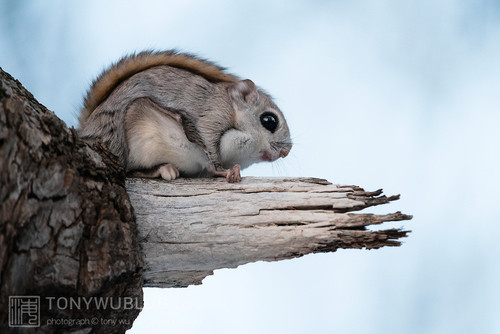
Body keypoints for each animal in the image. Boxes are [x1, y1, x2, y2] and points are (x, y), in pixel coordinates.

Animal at [76, 50, 292, 183]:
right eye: (269, 121)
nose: (285, 152)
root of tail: (87, 131)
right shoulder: (211, 116)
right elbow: (210, 150)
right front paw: (225, 170)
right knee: (129, 171)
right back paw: (164, 169)